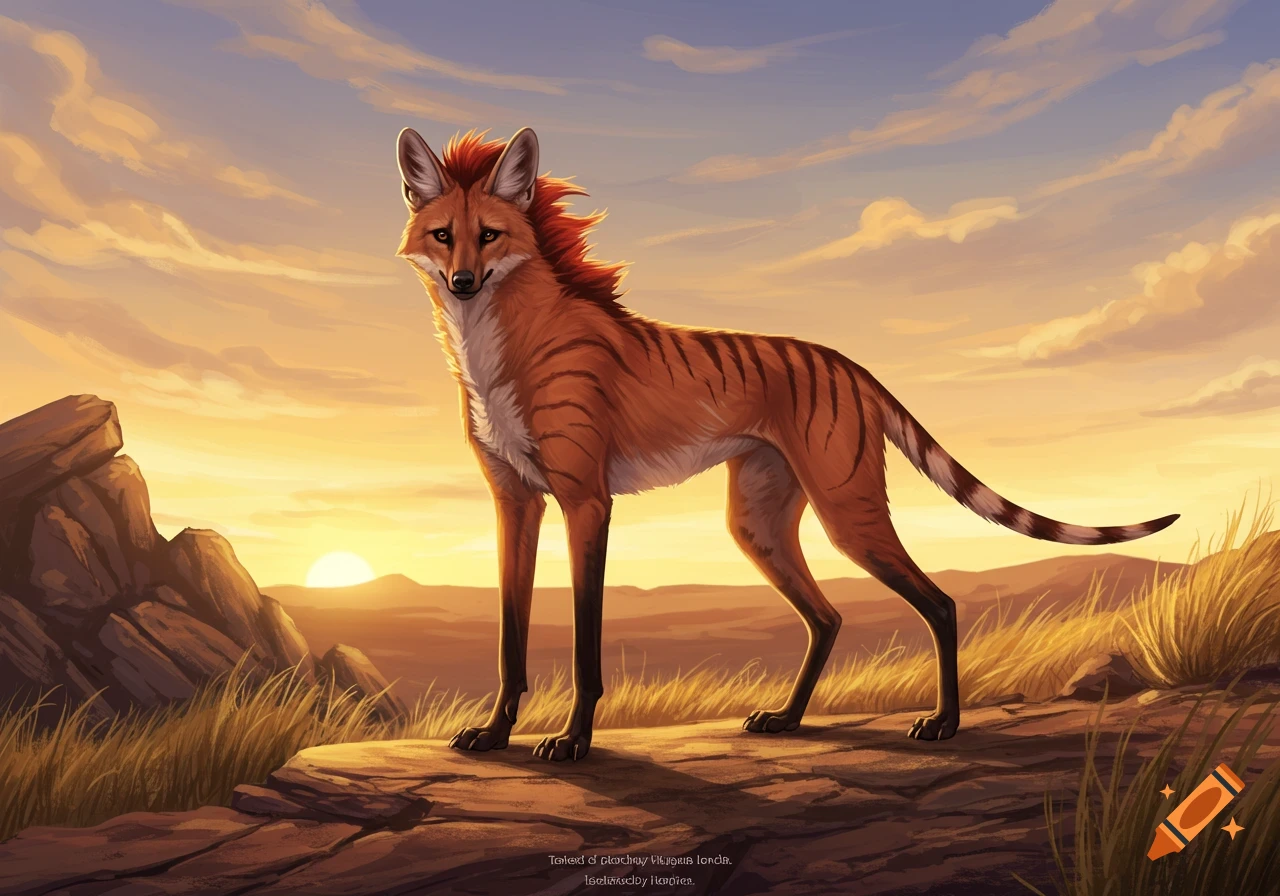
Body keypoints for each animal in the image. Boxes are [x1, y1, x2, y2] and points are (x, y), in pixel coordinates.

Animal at [394, 126, 1178, 761]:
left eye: (491, 235)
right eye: (443, 235)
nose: (462, 281)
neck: (497, 344)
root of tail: (848, 363)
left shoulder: (586, 500)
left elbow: (586, 647)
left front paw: (574, 740)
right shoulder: (517, 504)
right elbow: (509, 638)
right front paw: (495, 733)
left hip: (846, 511)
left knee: (941, 604)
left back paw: (944, 724)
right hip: (759, 522)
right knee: (828, 617)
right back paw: (790, 719)